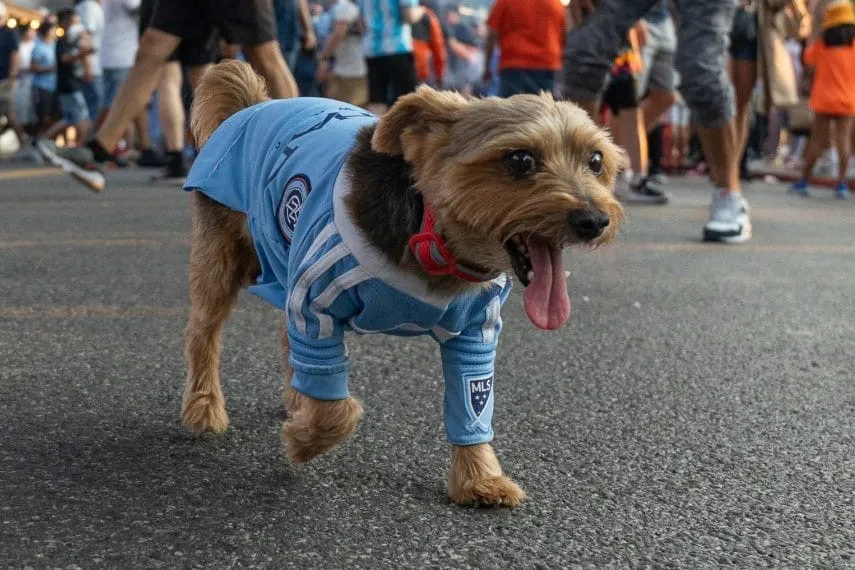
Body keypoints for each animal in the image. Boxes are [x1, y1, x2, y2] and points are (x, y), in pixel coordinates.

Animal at [181, 61, 624, 506]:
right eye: (520, 159)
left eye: (596, 160)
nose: (594, 220)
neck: (434, 241)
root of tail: (252, 106)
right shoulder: (318, 295)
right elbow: (336, 407)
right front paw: (304, 441)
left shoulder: (476, 331)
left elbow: (473, 400)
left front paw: (480, 478)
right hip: (223, 254)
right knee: (204, 331)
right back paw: (205, 407)